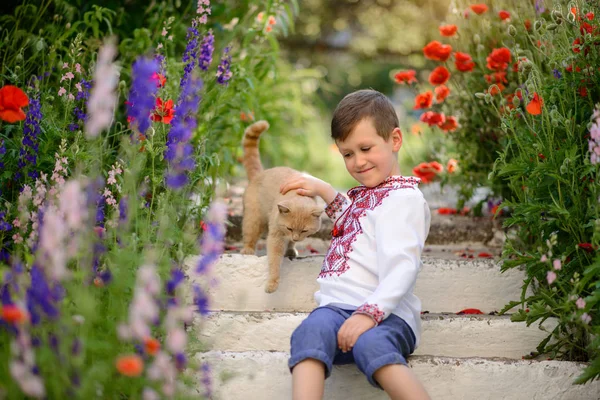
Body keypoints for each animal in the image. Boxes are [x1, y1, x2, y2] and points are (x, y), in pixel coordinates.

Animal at [240, 120, 322, 292]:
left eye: (304, 230)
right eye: (289, 228)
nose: (295, 237)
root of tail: (260, 174)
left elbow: (289, 244)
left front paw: (290, 249)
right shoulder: (276, 236)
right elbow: (274, 261)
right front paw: (272, 283)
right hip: (254, 218)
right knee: (249, 234)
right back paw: (248, 249)